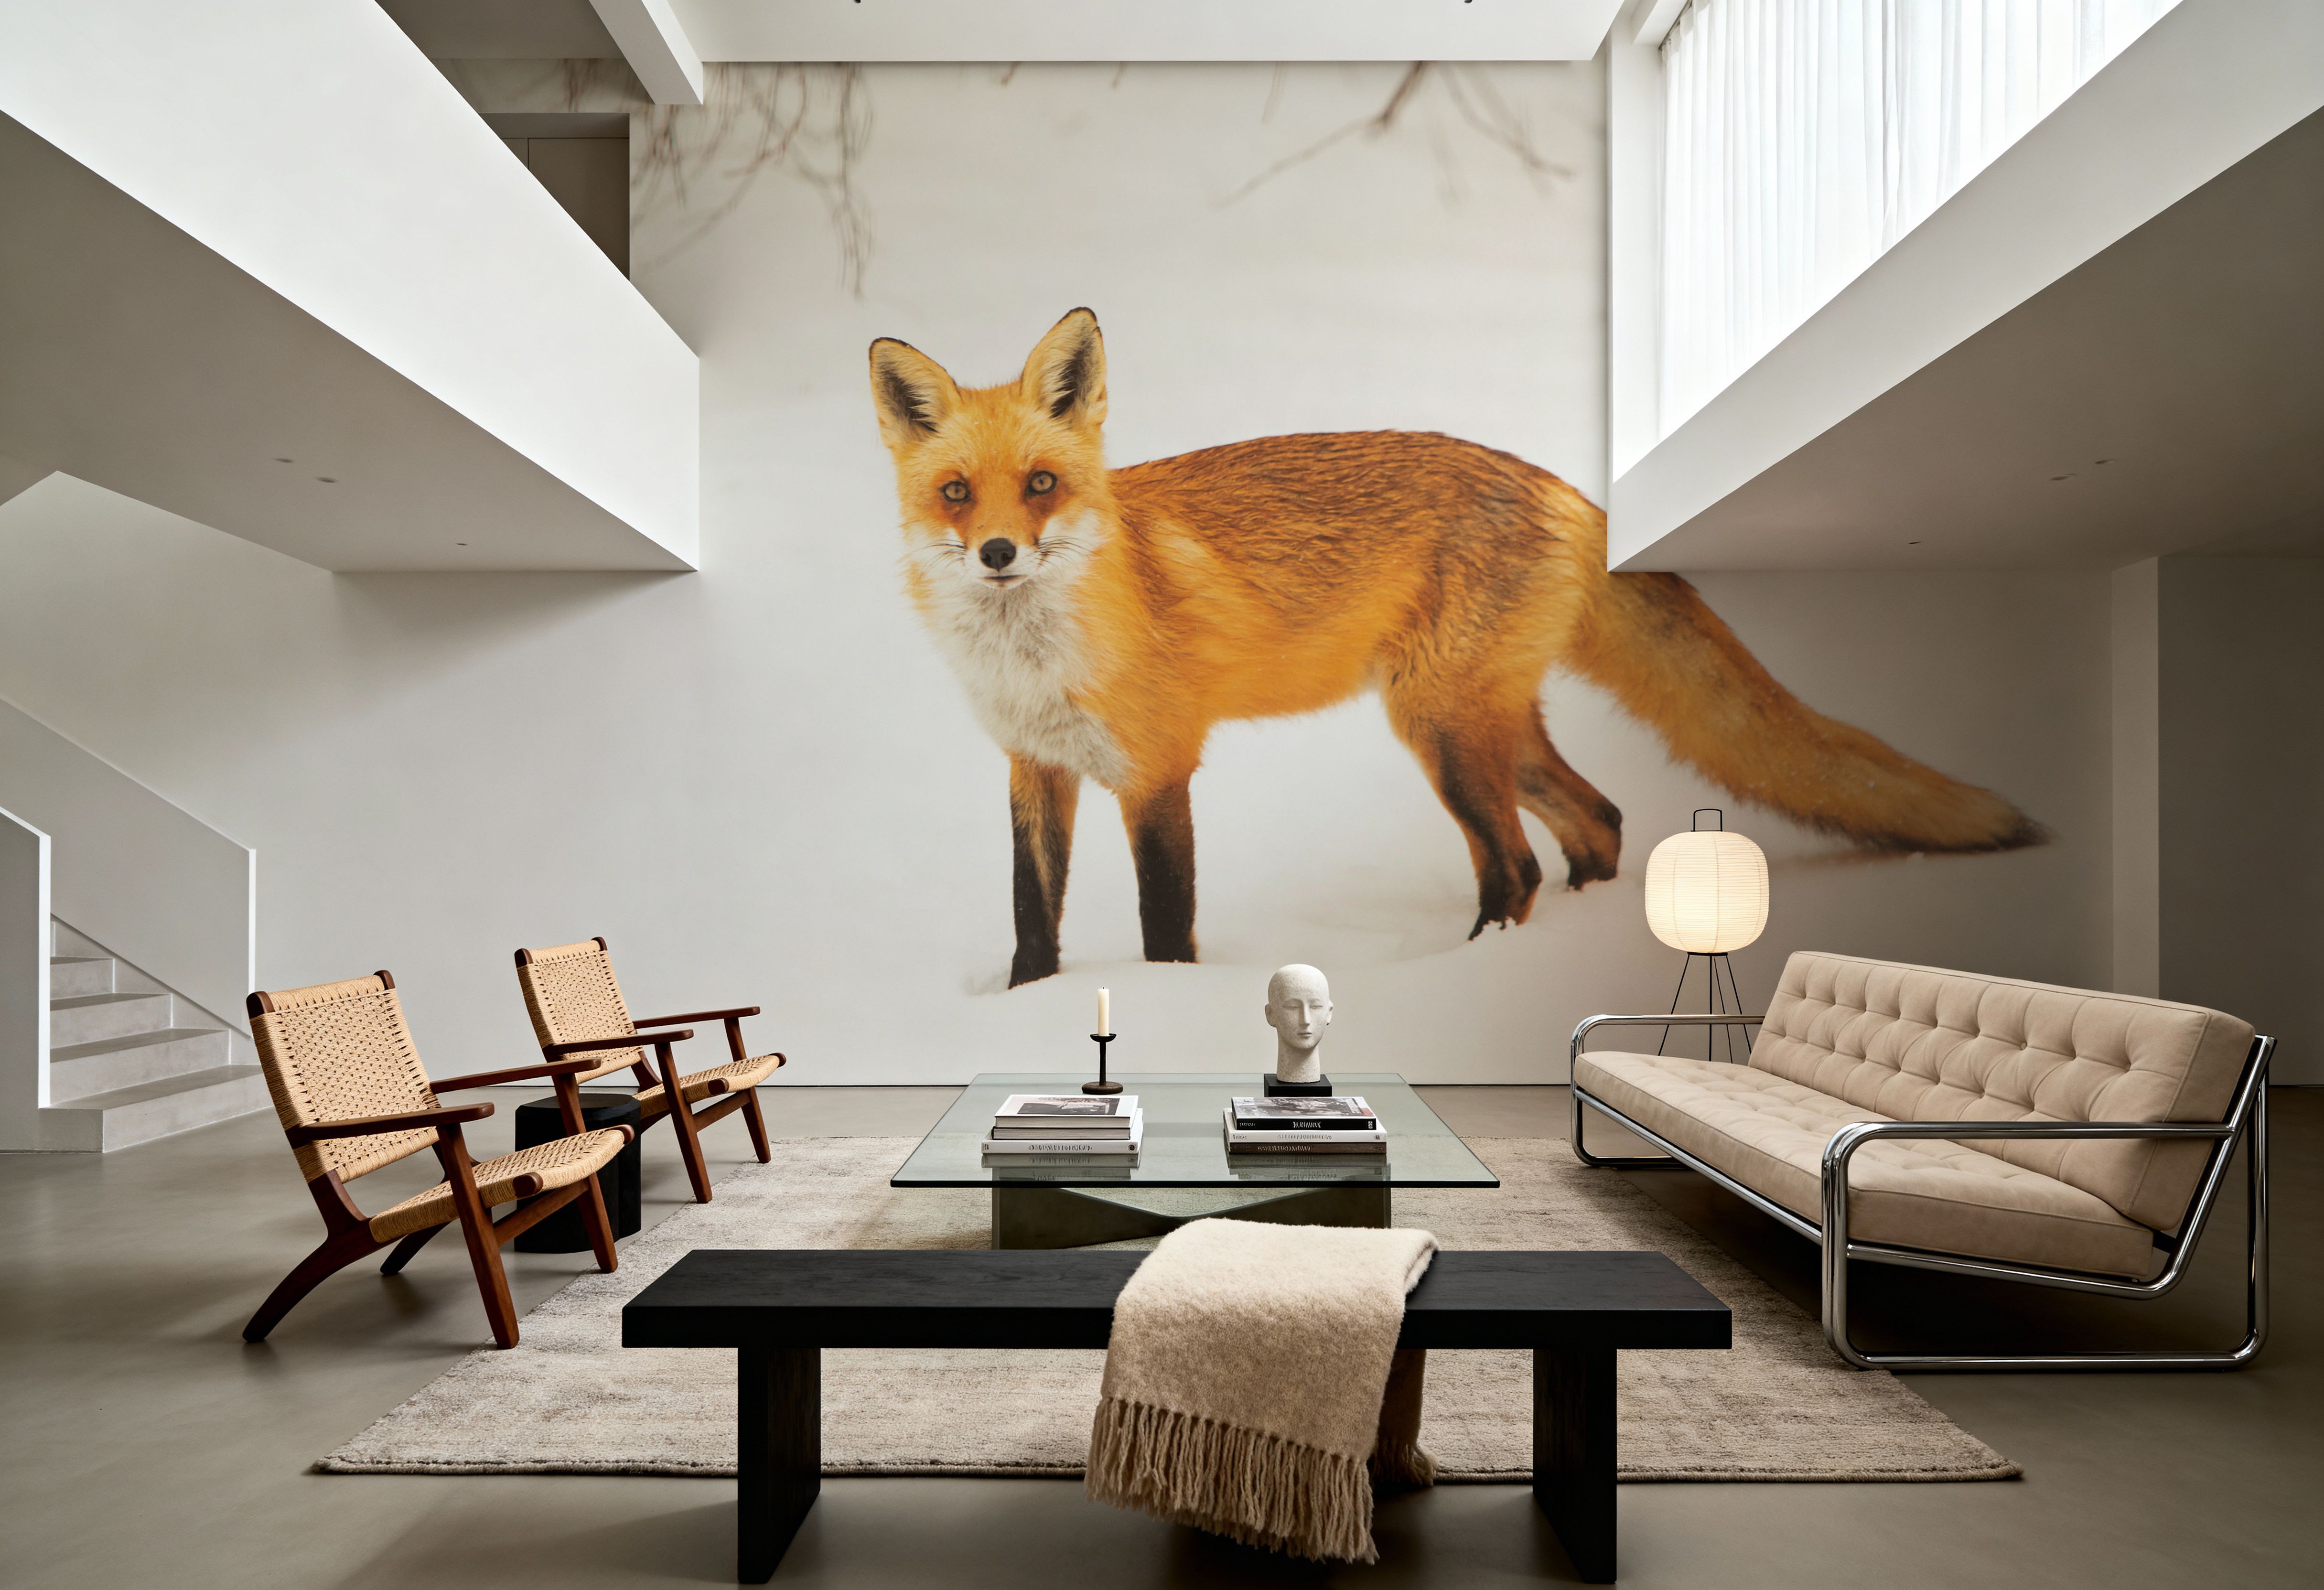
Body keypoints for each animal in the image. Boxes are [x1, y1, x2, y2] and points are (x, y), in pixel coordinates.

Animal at [869, 309, 2042, 988]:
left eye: (1041, 483)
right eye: (957, 493)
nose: (999, 553)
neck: (1033, 657)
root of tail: (1557, 482)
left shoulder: (1156, 767)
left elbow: (1165, 920)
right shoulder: (1034, 767)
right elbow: (1032, 918)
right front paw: (1026, 1010)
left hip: (1437, 728)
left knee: (1515, 861)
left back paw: (1457, 986)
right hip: (1483, 725)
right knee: (1598, 821)